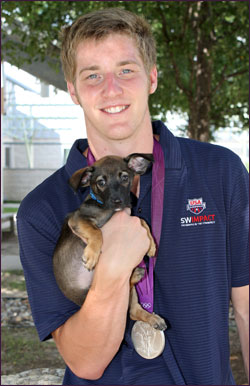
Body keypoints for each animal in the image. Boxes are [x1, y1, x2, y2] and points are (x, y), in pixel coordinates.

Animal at [52, 152, 166, 330]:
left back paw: (152, 316)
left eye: (125, 177)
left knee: (133, 310)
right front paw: (91, 255)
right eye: (101, 182)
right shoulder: (78, 219)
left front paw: (152, 245)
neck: (107, 209)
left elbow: (142, 221)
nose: (117, 201)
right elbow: (96, 232)